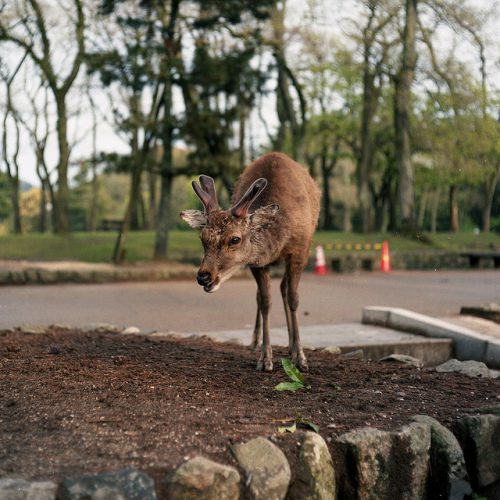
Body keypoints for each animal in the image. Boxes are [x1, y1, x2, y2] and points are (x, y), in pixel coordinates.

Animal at [180, 152, 320, 372]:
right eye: (202, 237)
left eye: (235, 239)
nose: (203, 276)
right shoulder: (258, 264)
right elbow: (265, 302)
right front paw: (265, 358)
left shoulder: (300, 251)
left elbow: (294, 299)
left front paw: (301, 357)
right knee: (265, 294)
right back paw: (255, 341)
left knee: (284, 289)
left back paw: (290, 345)